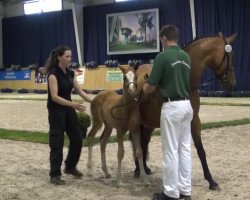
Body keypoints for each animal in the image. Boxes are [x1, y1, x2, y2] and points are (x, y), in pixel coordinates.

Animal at [135, 33, 236, 191]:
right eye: (229, 57)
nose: (232, 83)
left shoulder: (194, 121)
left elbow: (200, 150)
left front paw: (211, 181)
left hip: (149, 123)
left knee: (144, 142)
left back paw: (144, 169)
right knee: (137, 144)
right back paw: (138, 170)